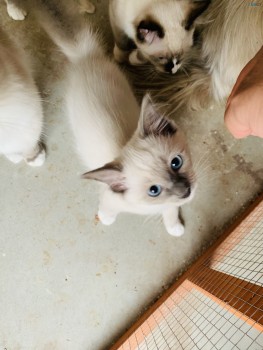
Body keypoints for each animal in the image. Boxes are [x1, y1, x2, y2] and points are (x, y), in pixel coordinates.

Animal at [10, 0, 197, 237]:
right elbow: (107, 210)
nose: (185, 190)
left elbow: (171, 210)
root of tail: (85, 55)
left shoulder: (173, 201)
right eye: (153, 191)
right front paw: (106, 220)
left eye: (176, 162)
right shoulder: (110, 199)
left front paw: (174, 227)